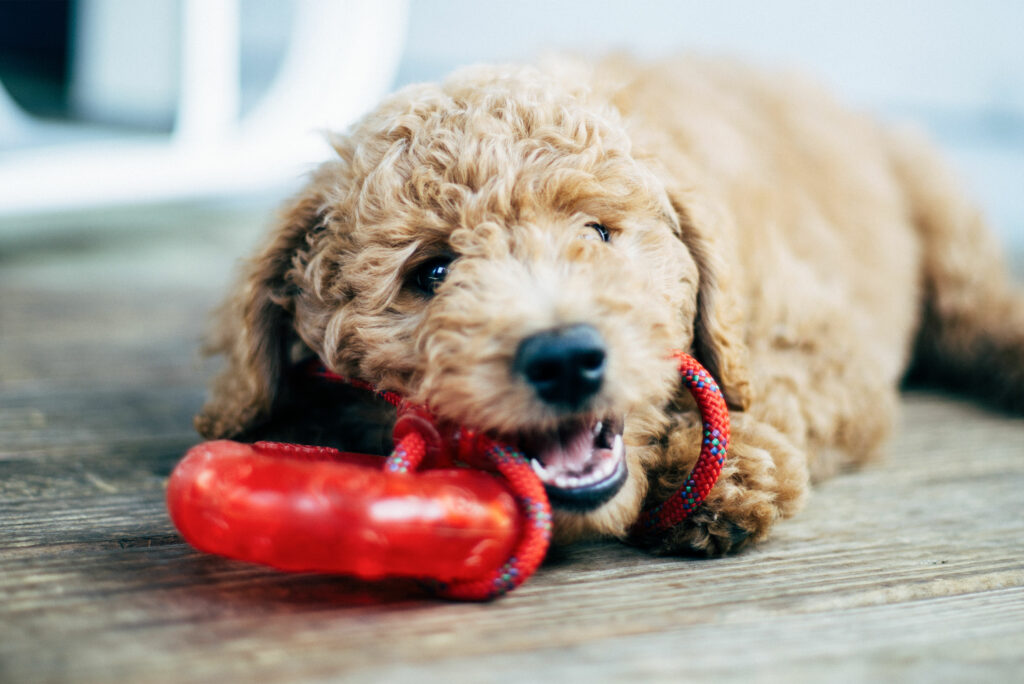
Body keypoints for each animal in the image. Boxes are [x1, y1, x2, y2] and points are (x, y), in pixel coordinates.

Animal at [193, 53, 1024, 557]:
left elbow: (766, 387)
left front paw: (725, 470)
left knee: (979, 304)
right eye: (431, 271)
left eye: (598, 232)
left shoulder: (826, 343)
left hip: (937, 209)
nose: (564, 358)